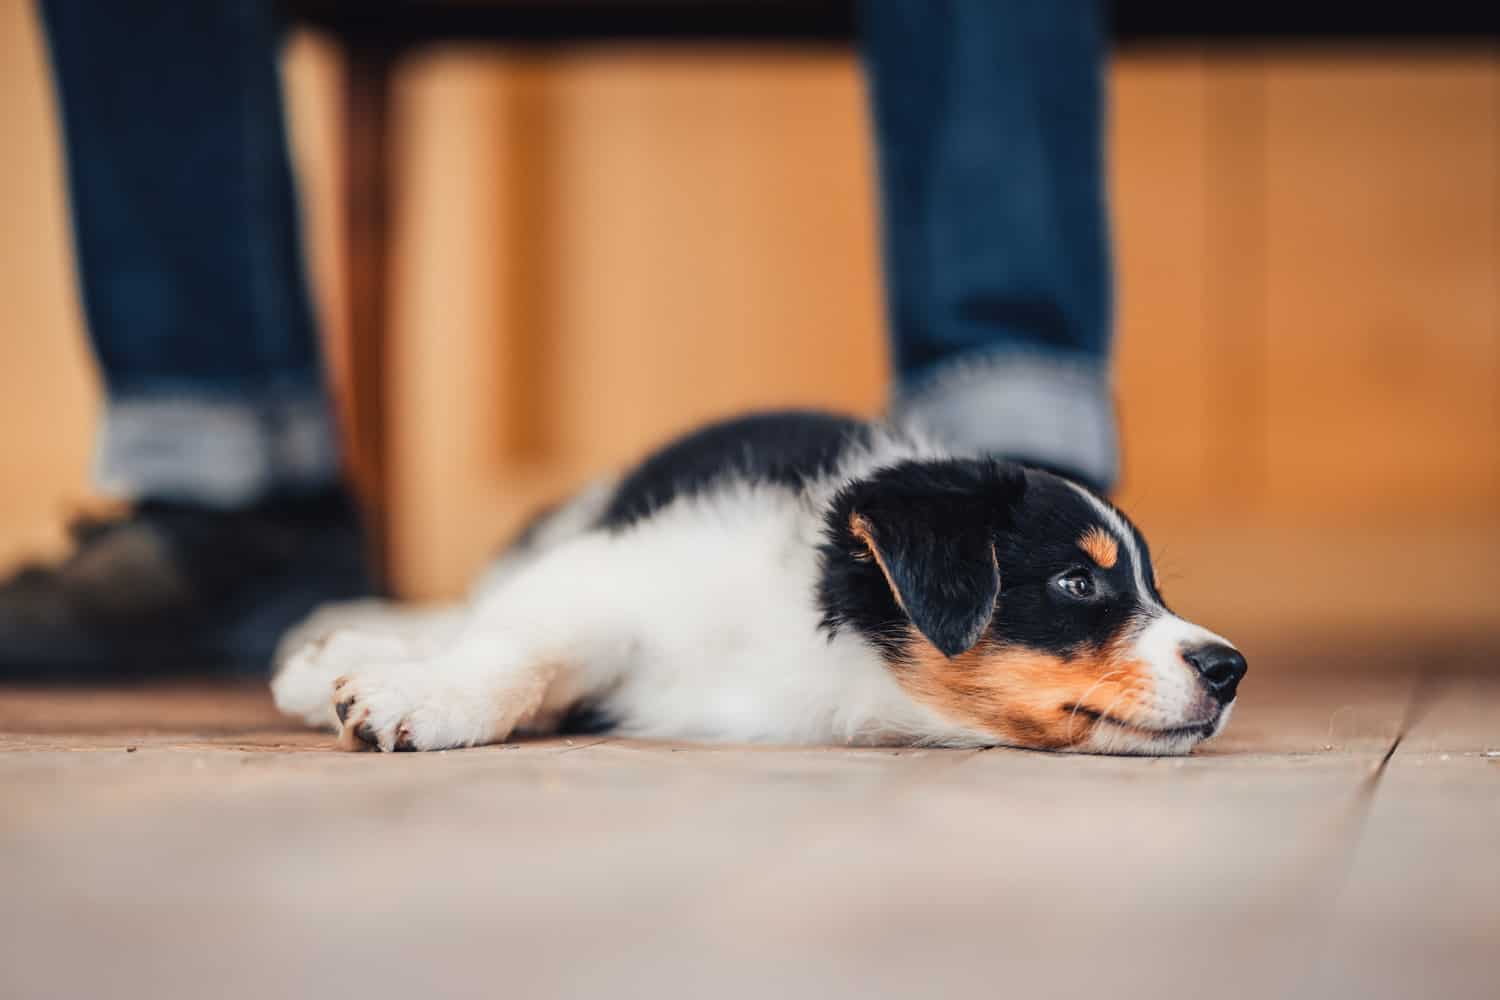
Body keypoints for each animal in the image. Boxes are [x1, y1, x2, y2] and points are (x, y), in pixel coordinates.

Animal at [270, 410, 1242, 755]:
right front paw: (419, 698)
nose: (1230, 670)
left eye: (1154, 589)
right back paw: (330, 654)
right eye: (1077, 583)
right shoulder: (615, 574)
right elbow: (519, 647)